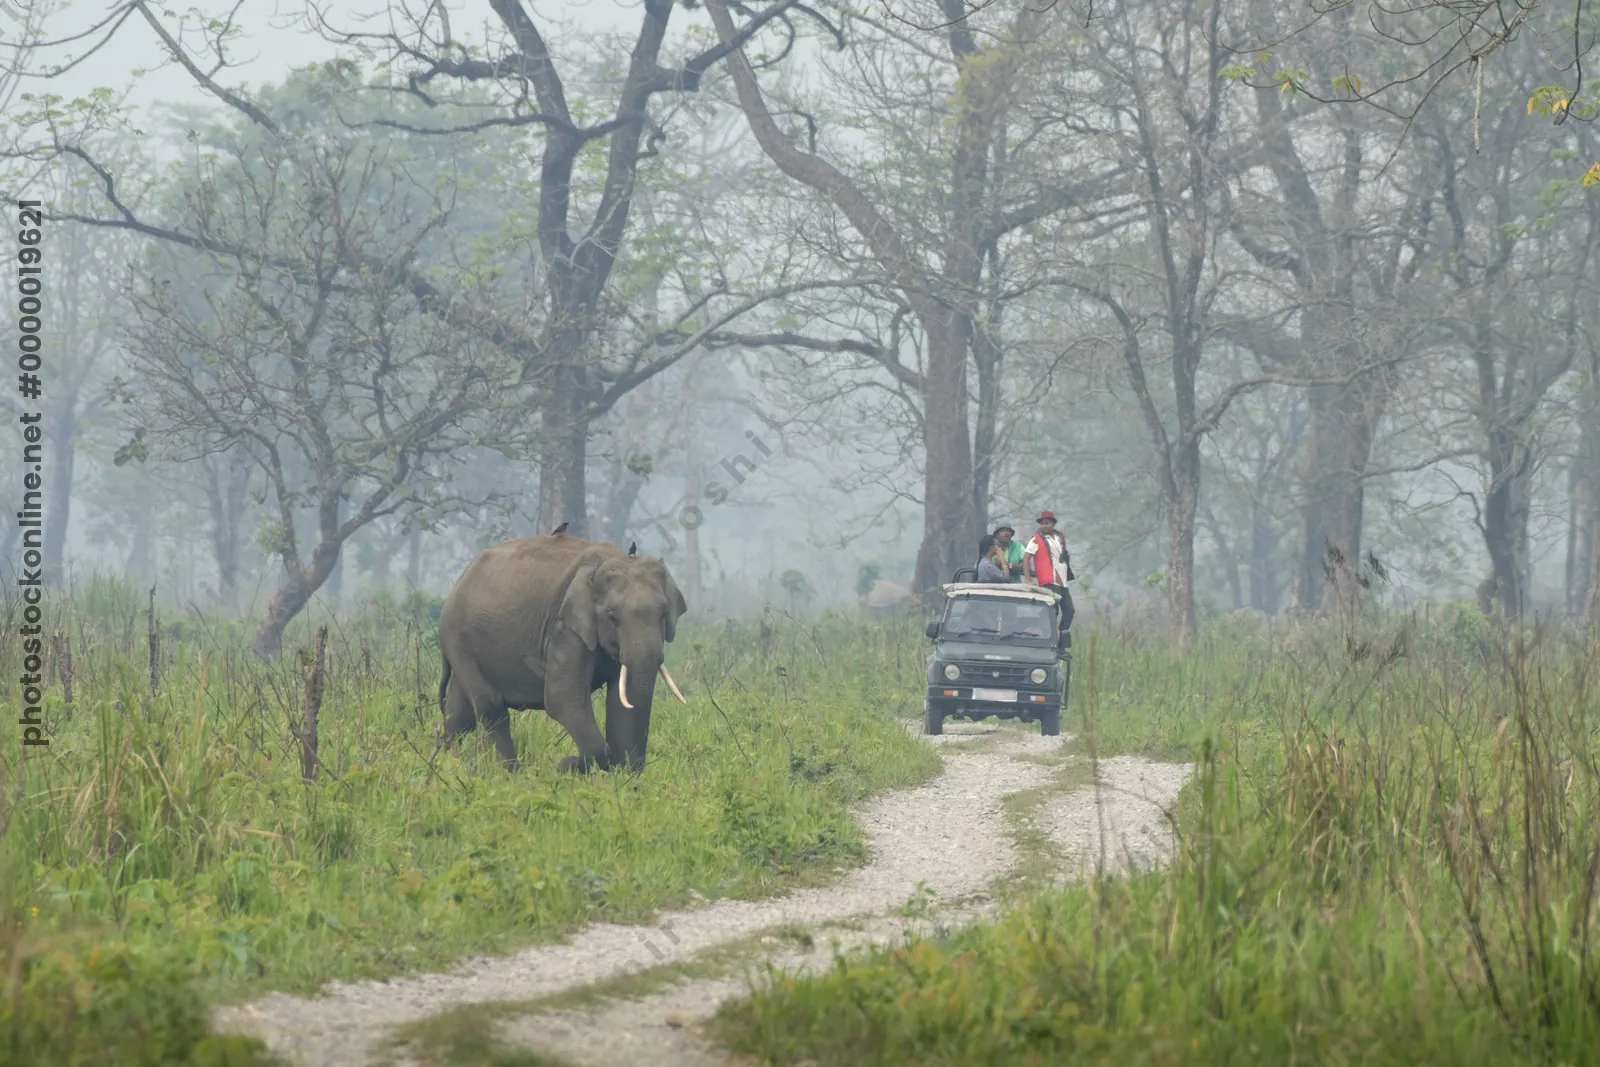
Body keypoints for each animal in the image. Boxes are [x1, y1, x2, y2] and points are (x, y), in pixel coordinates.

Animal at [435, 534, 689, 773]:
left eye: (663, 614)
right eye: (612, 617)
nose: (562, 761)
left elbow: (622, 701)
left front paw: (623, 775)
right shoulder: (565, 628)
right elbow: (562, 697)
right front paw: (565, 765)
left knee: (460, 714)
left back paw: (443, 763)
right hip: (458, 638)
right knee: (490, 704)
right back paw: (508, 773)